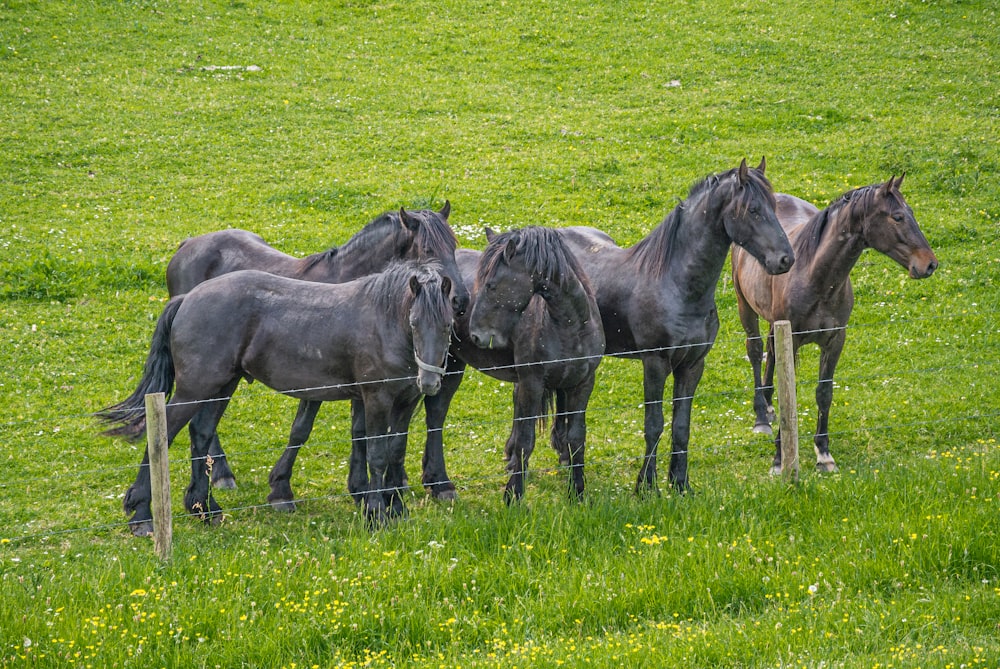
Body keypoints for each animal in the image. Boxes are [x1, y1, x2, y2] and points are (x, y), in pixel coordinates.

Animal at [98, 258, 454, 536]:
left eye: (448, 325)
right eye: (414, 322)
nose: (430, 382)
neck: (383, 322)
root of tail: (188, 298)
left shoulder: (406, 401)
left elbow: (396, 450)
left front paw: (397, 508)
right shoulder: (376, 399)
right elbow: (377, 455)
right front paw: (377, 514)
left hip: (220, 387)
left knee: (201, 434)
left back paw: (205, 508)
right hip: (193, 390)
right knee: (163, 437)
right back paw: (142, 515)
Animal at [161, 201, 468, 488]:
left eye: (453, 246)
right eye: (427, 249)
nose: (460, 300)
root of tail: (188, 244)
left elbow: (359, 431)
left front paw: (360, 486)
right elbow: (302, 429)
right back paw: (221, 474)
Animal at [556, 159, 796, 494]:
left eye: (774, 206)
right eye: (752, 209)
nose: (785, 259)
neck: (677, 285)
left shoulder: (692, 365)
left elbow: (681, 426)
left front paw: (680, 484)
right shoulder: (655, 363)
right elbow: (654, 424)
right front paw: (646, 486)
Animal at [728, 175, 936, 472]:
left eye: (911, 213)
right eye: (897, 217)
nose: (929, 264)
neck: (815, 278)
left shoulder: (835, 341)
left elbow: (823, 393)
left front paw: (823, 454)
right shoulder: (792, 340)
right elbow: (789, 394)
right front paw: (780, 459)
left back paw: (767, 405)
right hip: (745, 306)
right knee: (756, 352)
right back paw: (761, 417)